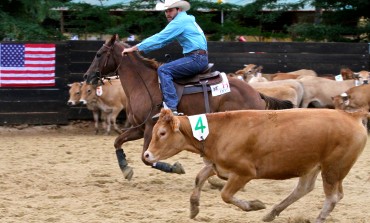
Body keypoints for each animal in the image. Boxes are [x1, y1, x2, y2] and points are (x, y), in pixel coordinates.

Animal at [83, 35, 292, 181]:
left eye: (98, 54)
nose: (87, 76)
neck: (144, 84)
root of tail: (256, 93)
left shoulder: (150, 128)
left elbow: (146, 157)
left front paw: (175, 168)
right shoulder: (139, 128)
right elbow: (117, 141)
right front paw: (125, 168)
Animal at [144, 109, 368, 222]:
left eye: (162, 133)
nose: (146, 155)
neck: (219, 132)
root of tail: (353, 116)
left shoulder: (244, 172)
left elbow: (225, 195)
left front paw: (253, 205)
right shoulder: (218, 166)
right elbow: (200, 177)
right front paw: (193, 208)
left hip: (333, 168)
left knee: (332, 198)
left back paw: (317, 218)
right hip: (313, 166)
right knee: (304, 189)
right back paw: (272, 213)